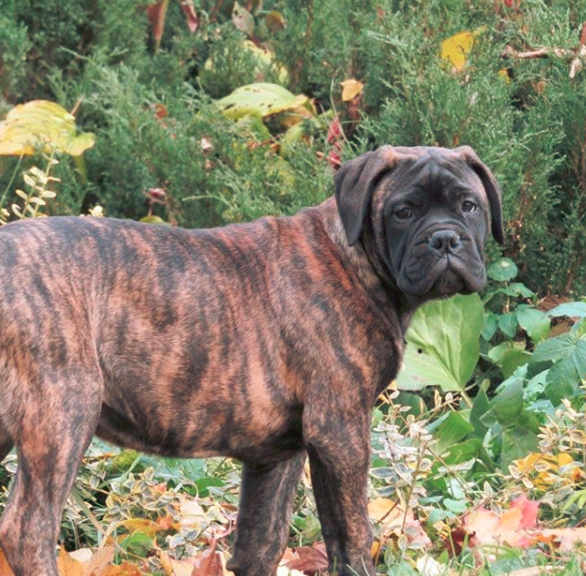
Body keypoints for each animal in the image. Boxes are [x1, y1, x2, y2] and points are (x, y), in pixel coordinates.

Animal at [0, 145, 502, 576]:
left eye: (469, 206)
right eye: (403, 211)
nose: (444, 239)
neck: (354, 259)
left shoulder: (277, 455)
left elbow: (261, 543)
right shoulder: (340, 430)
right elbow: (351, 533)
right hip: (64, 413)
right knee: (27, 530)